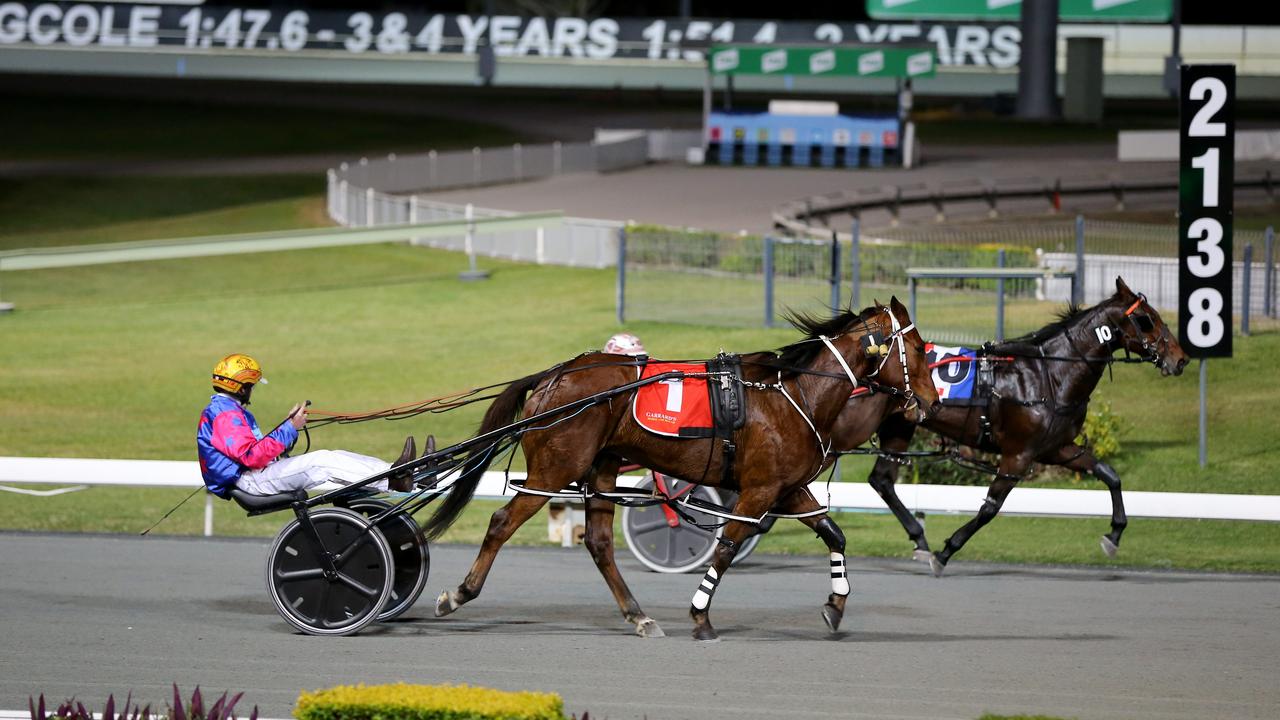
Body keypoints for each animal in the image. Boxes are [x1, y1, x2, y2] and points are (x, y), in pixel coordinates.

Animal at [424, 297, 936, 638]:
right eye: (918, 350)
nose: (930, 402)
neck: (795, 394)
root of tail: (554, 375)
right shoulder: (758, 491)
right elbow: (726, 548)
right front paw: (701, 615)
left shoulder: (787, 487)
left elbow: (834, 535)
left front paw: (835, 605)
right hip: (554, 469)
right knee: (501, 522)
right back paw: (459, 594)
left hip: (601, 467)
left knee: (599, 543)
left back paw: (638, 614)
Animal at [849, 278, 1187, 573]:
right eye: (1146, 319)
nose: (1180, 359)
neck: (1048, 375)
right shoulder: (1018, 455)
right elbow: (990, 508)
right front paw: (945, 552)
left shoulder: (1056, 448)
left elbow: (1110, 475)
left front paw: (1114, 535)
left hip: (899, 427)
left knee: (882, 479)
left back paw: (918, 538)